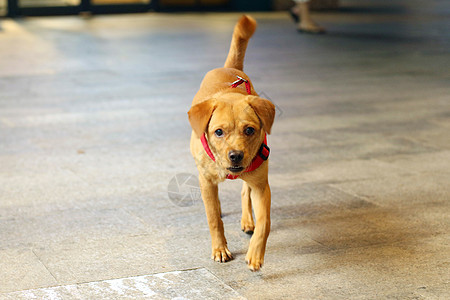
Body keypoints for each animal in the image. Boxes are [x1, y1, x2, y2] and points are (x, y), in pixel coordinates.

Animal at [186, 15, 274, 270]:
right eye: (218, 132)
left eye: (249, 130)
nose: (236, 155)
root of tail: (230, 68)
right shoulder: (206, 181)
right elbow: (213, 217)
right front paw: (220, 249)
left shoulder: (261, 186)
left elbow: (265, 222)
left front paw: (255, 253)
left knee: (245, 191)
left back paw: (247, 220)